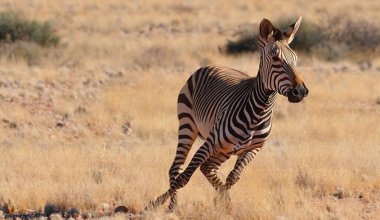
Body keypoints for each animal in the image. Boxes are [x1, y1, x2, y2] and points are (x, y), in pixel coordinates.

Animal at [147, 16, 308, 210]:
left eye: (296, 59)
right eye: (275, 58)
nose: (300, 91)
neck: (259, 112)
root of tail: (211, 65)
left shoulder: (253, 149)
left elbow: (233, 177)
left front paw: (223, 202)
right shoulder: (210, 143)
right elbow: (184, 177)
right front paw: (154, 204)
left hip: (225, 149)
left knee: (207, 168)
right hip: (187, 125)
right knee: (176, 168)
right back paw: (173, 205)